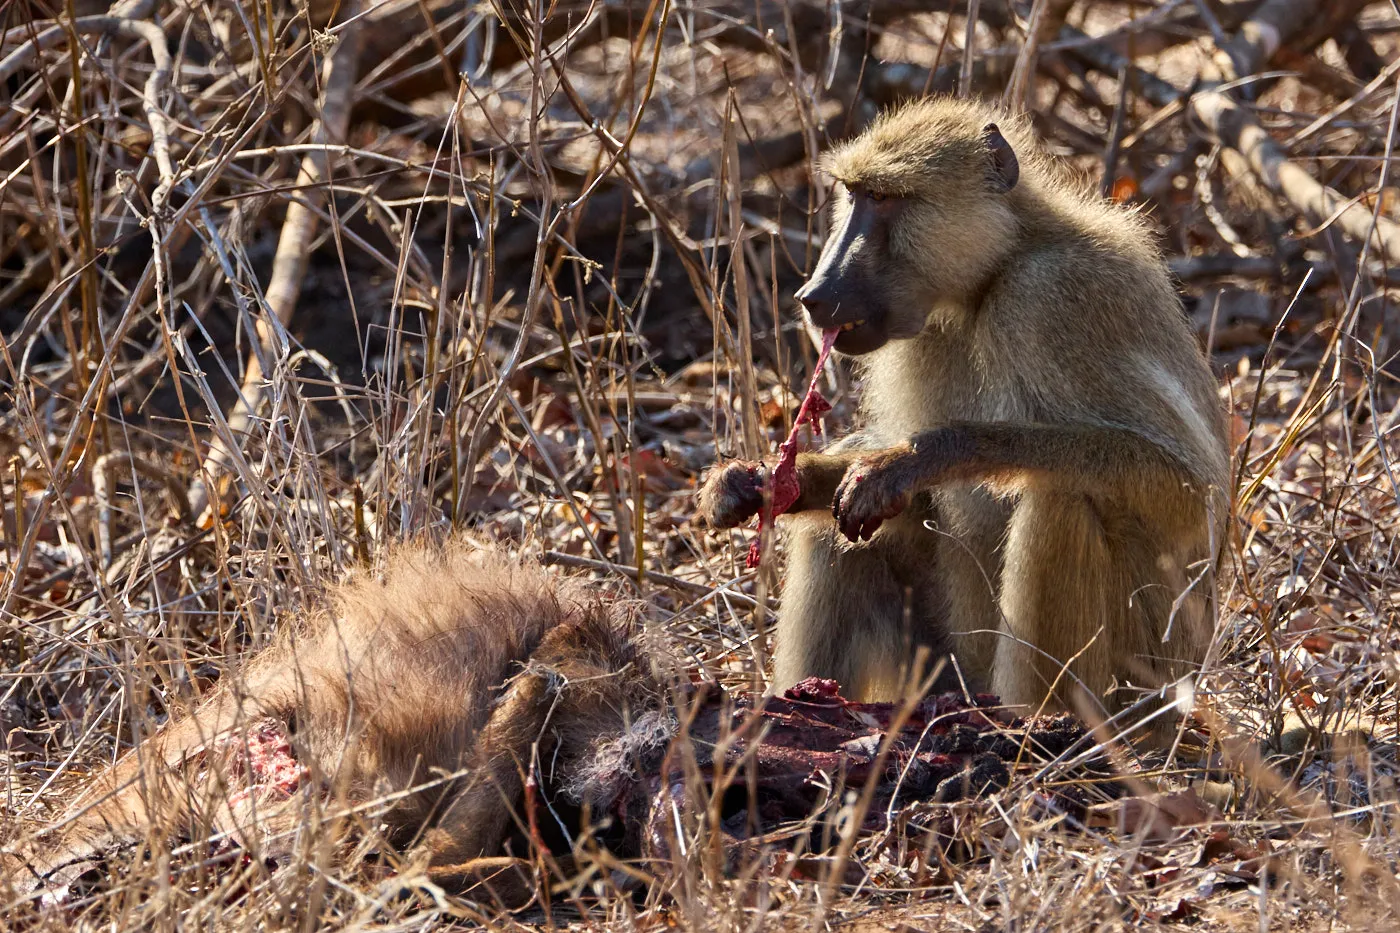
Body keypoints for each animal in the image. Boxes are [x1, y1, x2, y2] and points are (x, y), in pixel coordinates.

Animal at [697, 97, 1230, 725]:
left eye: (885, 199)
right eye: (853, 194)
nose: (815, 295)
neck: (990, 278)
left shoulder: (1052, 296)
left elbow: (1190, 490)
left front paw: (924, 456)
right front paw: (755, 480)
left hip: (1142, 679)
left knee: (1061, 496)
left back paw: (1040, 730)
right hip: (936, 672)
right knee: (840, 536)